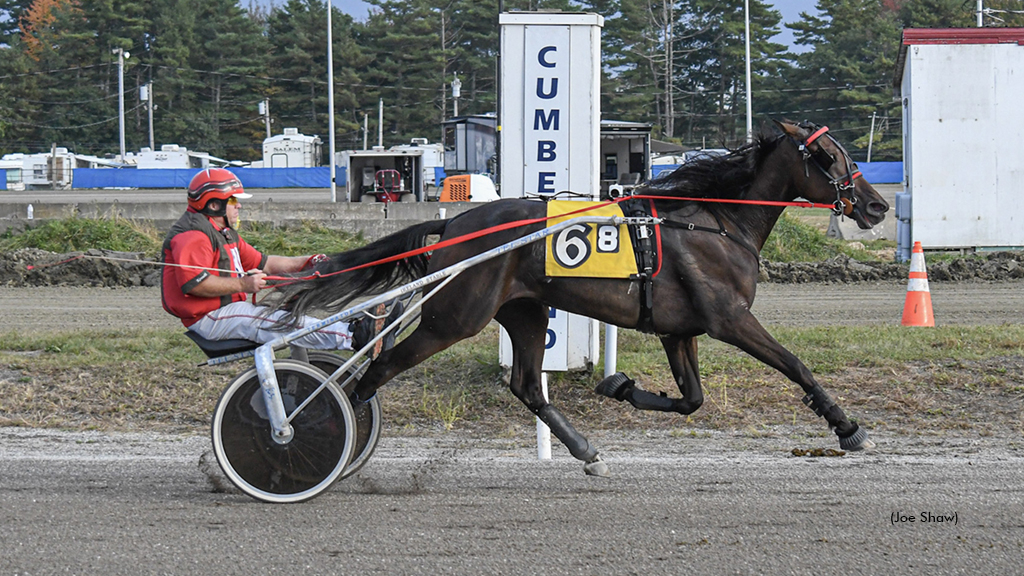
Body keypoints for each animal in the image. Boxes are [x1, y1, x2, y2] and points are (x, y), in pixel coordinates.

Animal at [272, 118, 888, 473]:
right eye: (830, 157)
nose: (877, 205)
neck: (713, 222)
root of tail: (453, 225)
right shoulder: (728, 318)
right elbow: (795, 364)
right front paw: (848, 429)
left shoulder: (679, 329)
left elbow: (691, 400)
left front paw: (619, 385)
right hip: (455, 317)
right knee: (374, 372)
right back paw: (314, 438)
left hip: (523, 311)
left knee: (526, 385)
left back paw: (586, 451)